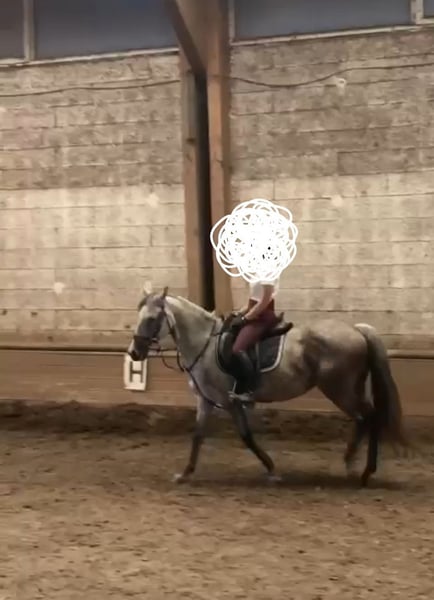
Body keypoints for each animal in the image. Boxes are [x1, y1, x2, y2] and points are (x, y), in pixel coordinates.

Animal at [127, 285, 408, 487]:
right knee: (364, 419)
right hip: (348, 389)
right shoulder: (206, 400)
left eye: (152, 319)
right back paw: (351, 465)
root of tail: (357, 330)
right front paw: (185, 474)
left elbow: (246, 436)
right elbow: (197, 435)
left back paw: (365, 472)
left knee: (370, 417)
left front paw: (272, 470)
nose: (134, 353)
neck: (204, 343)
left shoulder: (230, 400)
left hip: (340, 390)